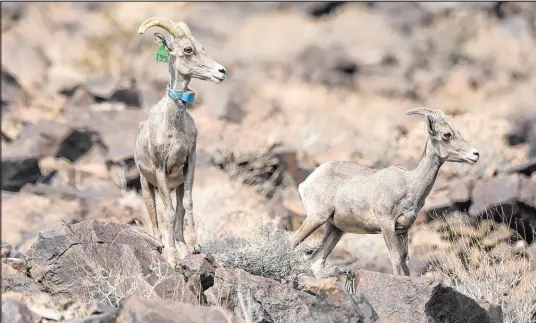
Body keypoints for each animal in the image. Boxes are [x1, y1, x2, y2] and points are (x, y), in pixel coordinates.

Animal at [135, 17, 227, 266]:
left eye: (202, 47)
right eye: (188, 50)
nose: (221, 71)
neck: (174, 127)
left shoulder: (189, 163)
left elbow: (186, 204)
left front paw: (194, 246)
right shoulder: (160, 169)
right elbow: (166, 212)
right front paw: (172, 257)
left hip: (175, 184)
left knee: (178, 214)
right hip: (146, 185)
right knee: (155, 215)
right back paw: (161, 245)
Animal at [294, 108, 482, 276]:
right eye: (446, 135)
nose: (475, 154)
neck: (410, 184)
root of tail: (307, 181)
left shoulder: (403, 231)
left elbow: (405, 261)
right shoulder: (386, 223)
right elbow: (396, 258)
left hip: (334, 229)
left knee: (316, 260)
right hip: (317, 217)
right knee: (293, 241)